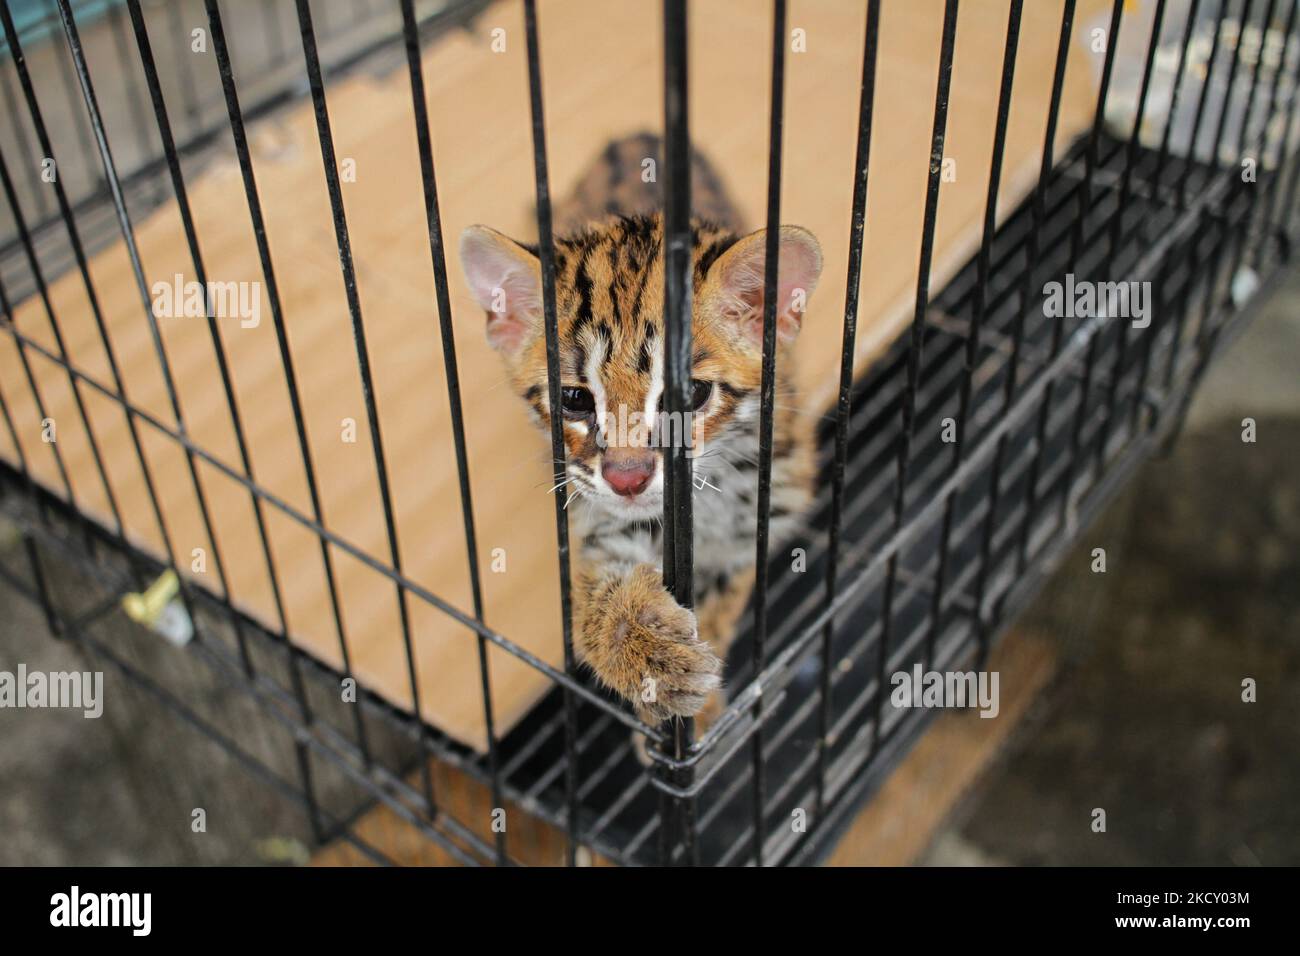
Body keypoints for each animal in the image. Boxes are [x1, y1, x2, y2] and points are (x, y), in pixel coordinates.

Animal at [457, 130, 821, 738]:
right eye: (573, 399)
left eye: (689, 396)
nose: (627, 478)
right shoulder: (592, 514)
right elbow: (592, 595)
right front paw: (646, 653)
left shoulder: (756, 521)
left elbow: (723, 599)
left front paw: (697, 710)